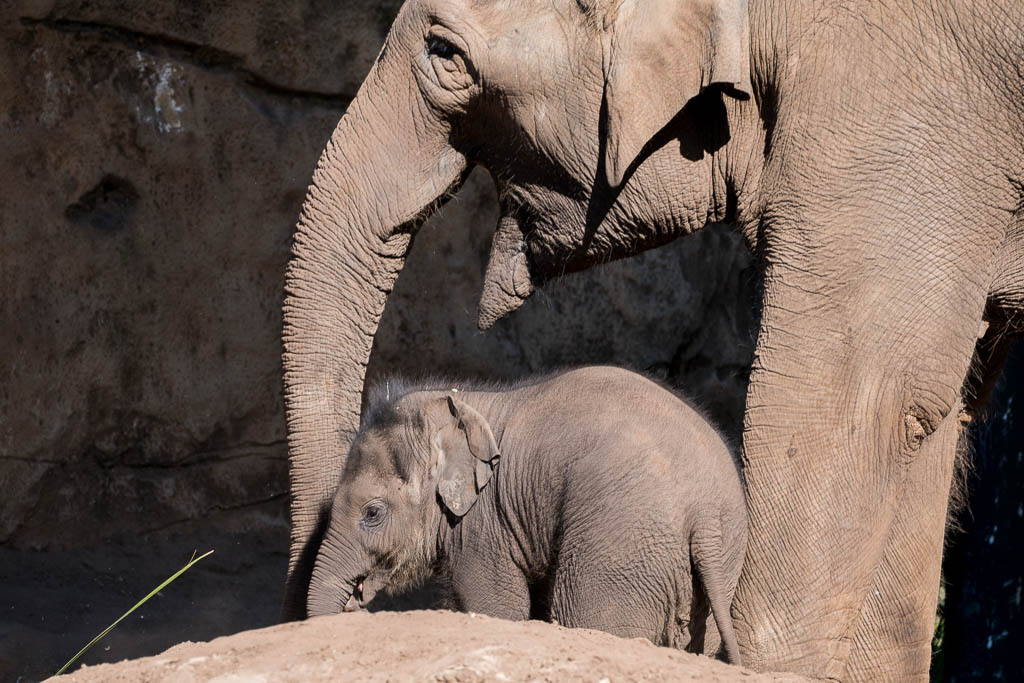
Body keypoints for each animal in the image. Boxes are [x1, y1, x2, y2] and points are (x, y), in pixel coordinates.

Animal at [306, 366, 748, 663]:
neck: (460, 400)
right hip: (718, 564)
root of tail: (704, 512)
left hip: (624, 541)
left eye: (372, 513)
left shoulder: (484, 526)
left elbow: (495, 608)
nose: (353, 602)